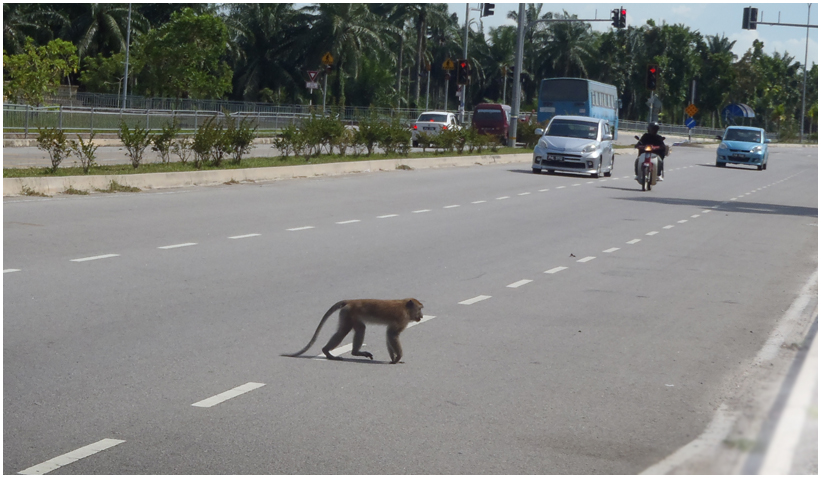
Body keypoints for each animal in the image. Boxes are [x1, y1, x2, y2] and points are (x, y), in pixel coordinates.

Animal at [282, 298, 422, 362]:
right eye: (420, 309)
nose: (421, 316)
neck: (405, 307)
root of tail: (351, 301)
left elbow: (388, 334)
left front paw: (393, 358)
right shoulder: (402, 319)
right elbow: (393, 334)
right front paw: (398, 357)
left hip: (350, 315)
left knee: (358, 328)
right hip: (348, 313)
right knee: (344, 331)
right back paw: (329, 352)